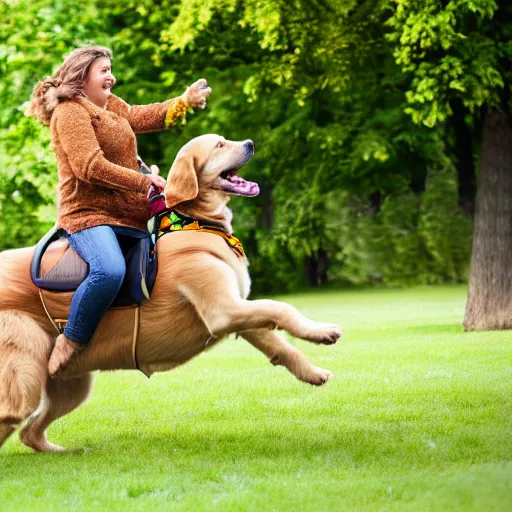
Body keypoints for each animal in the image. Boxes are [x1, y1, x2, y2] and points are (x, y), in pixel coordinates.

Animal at [1, 136, 344, 452]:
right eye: (219, 145)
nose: (249, 142)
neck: (194, 223)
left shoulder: (240, 312)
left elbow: (280, 344)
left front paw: (313, 372)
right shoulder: (222, 310)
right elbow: (282, 308)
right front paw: (322, 331)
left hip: (70, 384)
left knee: (29, 432)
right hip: (25, 371)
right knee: (12, 418)